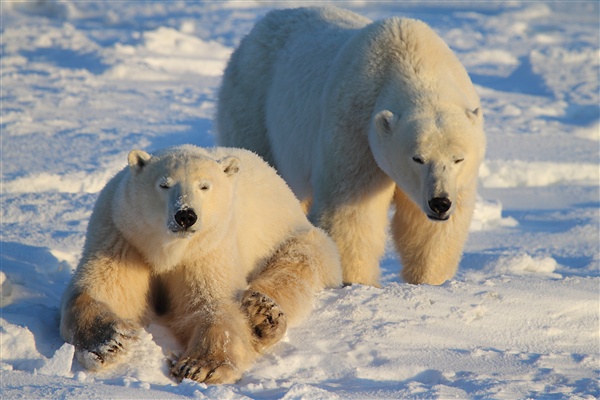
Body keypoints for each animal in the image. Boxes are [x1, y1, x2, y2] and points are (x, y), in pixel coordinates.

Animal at [62, 145, 342, 382]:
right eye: (164, 184)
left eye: (205, 186)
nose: (185, 215)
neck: (168, 250)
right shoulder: (122, 236)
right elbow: (101, 290)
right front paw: (110, 341)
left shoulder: (209, 247)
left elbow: (212, 304)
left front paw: (201, 367)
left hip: (297, 238)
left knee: (293, 269)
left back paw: (261, 315)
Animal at [218, 7, 486, 288]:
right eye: (417, 158)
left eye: (458, 159)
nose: (439, 203)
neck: (411, 62)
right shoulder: (355, 127)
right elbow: (352, 213)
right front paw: (355, 282)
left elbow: (429, 230)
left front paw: (430, 281)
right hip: (253, 108)